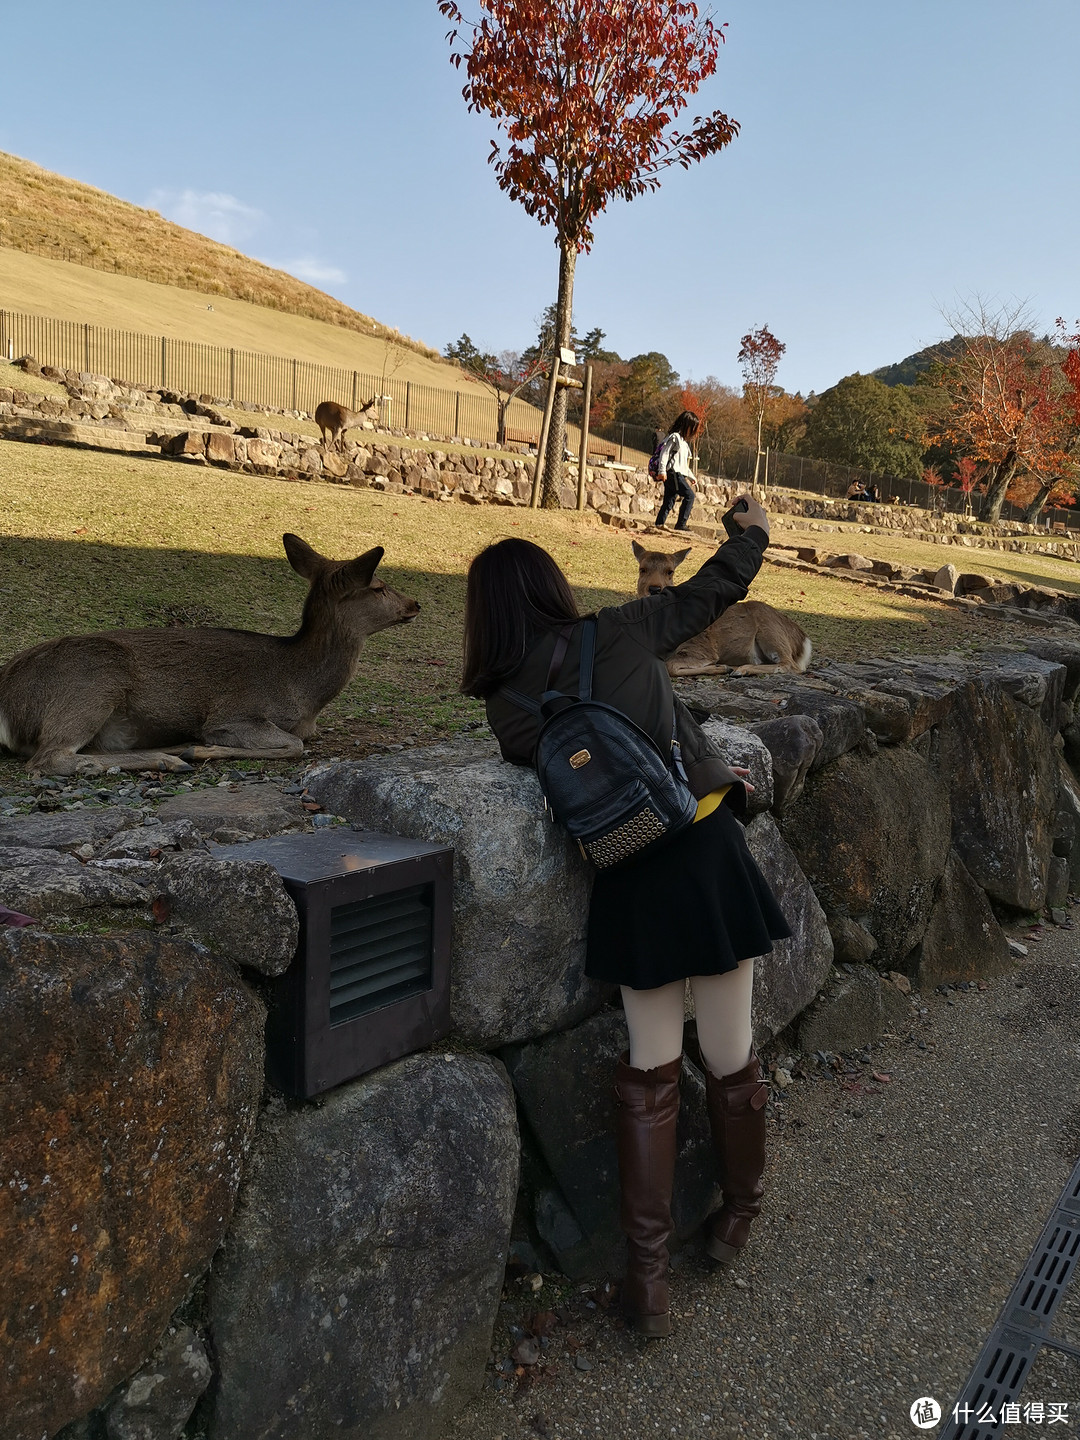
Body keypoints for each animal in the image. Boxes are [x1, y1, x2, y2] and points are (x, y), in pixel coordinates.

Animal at [0, 532, 420, 777]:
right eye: (378, 586)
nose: (415, 604)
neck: (303, 692)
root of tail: (8, 705)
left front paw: (196, 749)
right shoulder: (234, 713)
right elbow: (293, 746)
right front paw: (206, 751)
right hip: (93, 681)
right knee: (51, 757)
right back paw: (168, 758)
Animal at [633, 538, 812, 676]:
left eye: (670, 571)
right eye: (642, 569)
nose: (654, 589)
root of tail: (804, 640)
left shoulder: (703, 649)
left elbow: (670, 666)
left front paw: (720, 667)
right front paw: (722, 667)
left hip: (772, 632)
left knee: (790, 665)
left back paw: (740, 670)